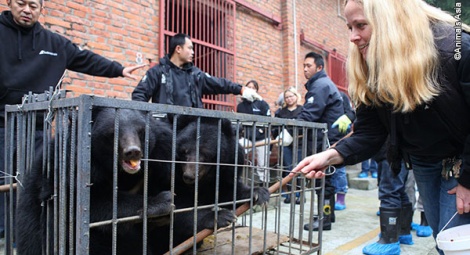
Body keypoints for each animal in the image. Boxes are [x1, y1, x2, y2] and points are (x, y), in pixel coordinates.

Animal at [16, 107, 175, 255]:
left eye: (141, 131)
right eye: (113, 133)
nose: (133, 151)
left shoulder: (162, 152)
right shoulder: (67, 170)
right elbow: (85, 203)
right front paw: (160, 202)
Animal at [152, 116, 270, 255]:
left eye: (206, 155)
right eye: (184, 152)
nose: (188, 176)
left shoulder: (225, 170)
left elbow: (228, 192)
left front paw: (258, 193)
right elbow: (178, 207)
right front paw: (221, 216)